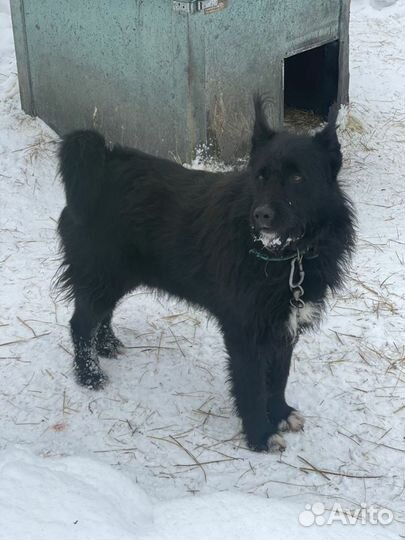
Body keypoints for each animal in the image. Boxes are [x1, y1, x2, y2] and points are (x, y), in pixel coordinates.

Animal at [56, 98, 354, 452]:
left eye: (298, 178)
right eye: (260, 176)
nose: (261, 216)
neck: (287, 257)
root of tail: (103, 163)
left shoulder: (285, 325)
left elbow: (278, 377)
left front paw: (280, 412)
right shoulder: (244, 332)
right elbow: (252, 386)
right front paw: (260, 434)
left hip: (116, 278)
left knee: (102, 315)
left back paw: (107, 346)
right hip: (101, 275)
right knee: (80, 324)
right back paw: (89, 375)